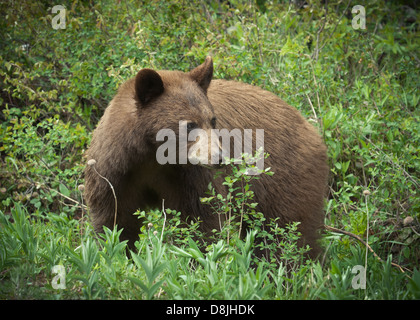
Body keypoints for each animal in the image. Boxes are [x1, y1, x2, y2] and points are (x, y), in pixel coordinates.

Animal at [83, 56, 330, 258]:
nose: (220, 158)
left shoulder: (190, 177)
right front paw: (118, 254)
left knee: (291, 230)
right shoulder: (116, 172)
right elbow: (115, 221)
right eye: (190, 125)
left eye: (212, 120)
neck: (151, 157)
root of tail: (311, 130)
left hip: (286, 177)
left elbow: (202, 219)